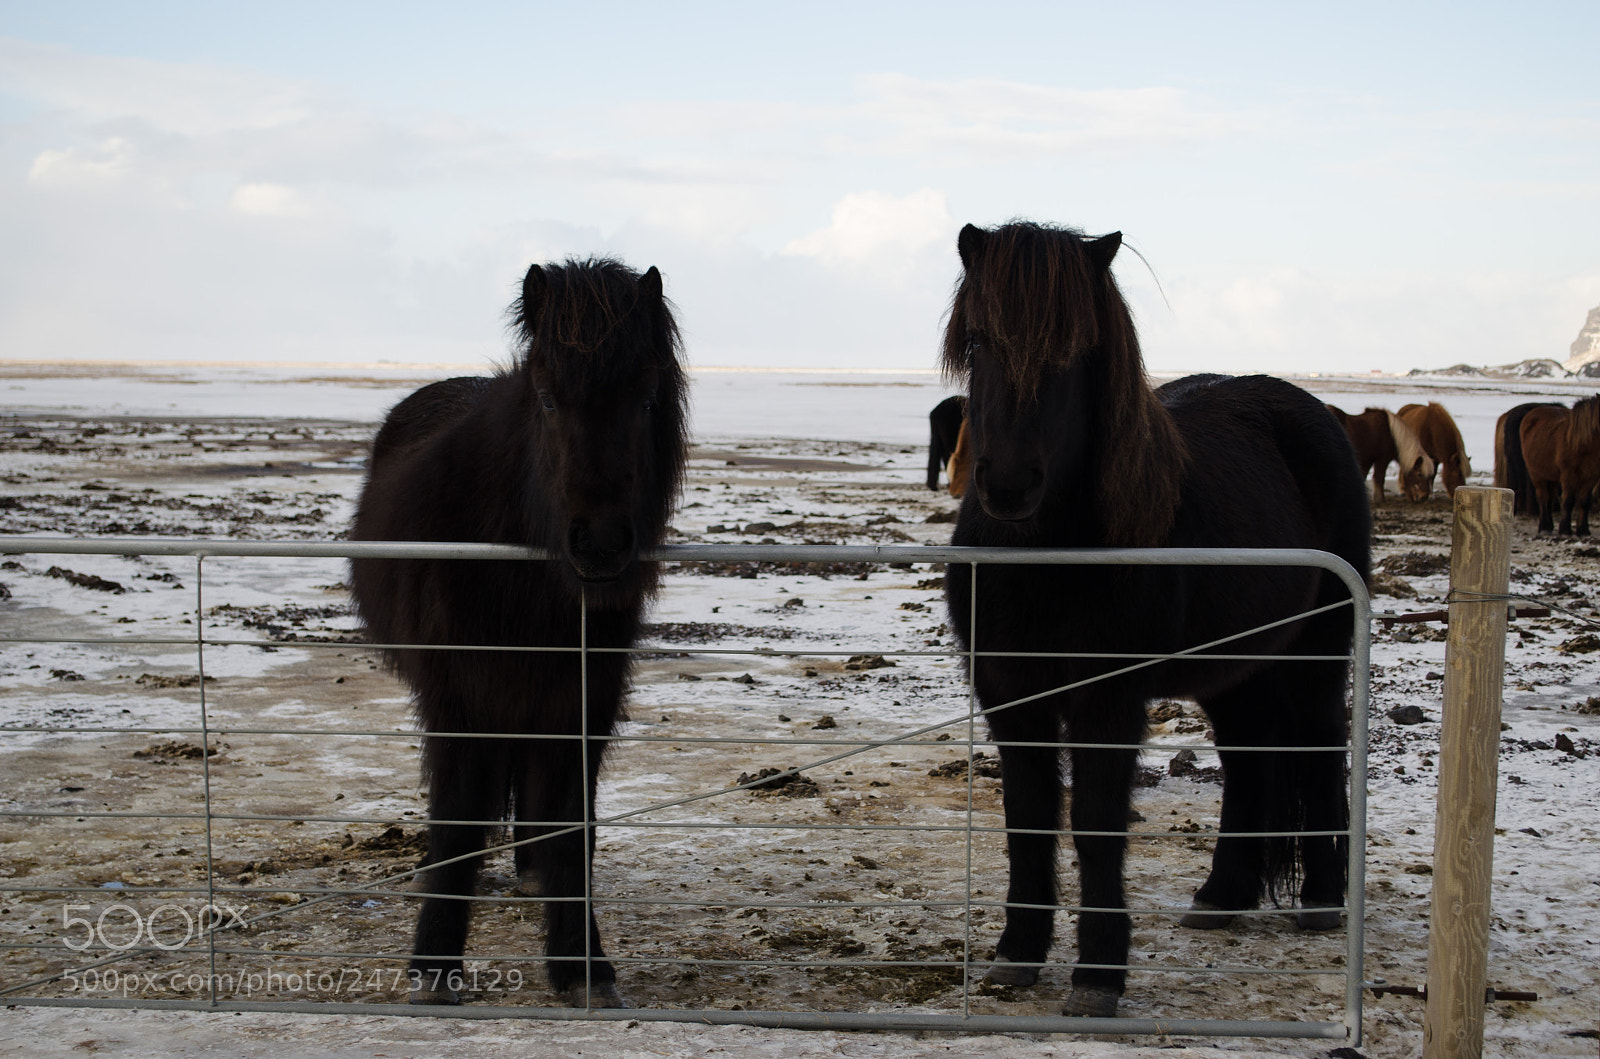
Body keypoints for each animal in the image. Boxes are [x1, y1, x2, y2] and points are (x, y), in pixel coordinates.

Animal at [349, 257, 688, 1007]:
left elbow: (569, 821)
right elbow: (455, 814)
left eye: (648, 397)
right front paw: (435, 965)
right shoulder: (458, 694)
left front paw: (581, 964)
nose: (600, 544)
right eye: (548, 398)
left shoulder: (583, 693)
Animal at [941, 221, 1368, 1018]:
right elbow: (1028, 818)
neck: (1045, 560)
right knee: (1249, 761)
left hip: (1317, 658)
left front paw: (1098, 974)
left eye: (1078, 349)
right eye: (978, 340)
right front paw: (1017, 952)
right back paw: (1221, 896)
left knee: (1322, 747)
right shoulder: (1013, 697)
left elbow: (1096, 823)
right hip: (1238, 673)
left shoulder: (1107, 700)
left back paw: (1322, 901)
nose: (1010, 485)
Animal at [1519, 395, 1600, 536]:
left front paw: (1583, 529)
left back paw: (1549, 525)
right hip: (1536, 474)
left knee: (1550, 498)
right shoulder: (1569, 475)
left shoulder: (1591, 476)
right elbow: (1568, 500)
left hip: (1551, 475)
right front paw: (1565, 529)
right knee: (1543, 497)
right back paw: (1544, 526)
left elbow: (1585, 501)